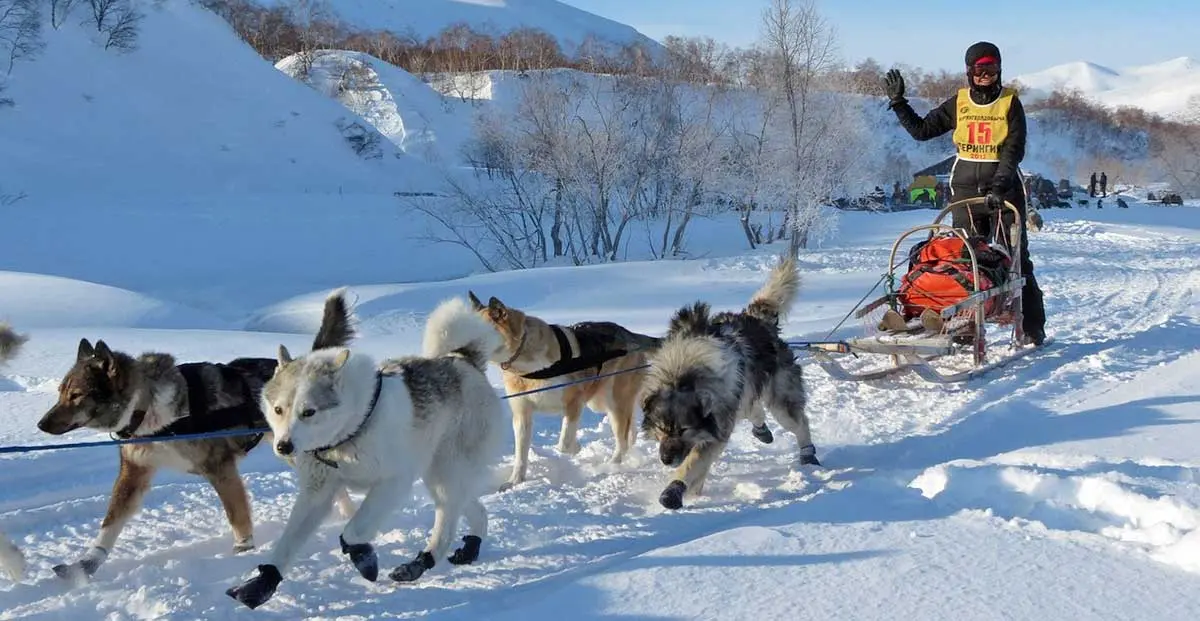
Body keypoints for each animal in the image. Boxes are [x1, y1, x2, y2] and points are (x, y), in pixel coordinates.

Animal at [226, 293, 508, 613]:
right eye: (278, 410)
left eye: (309, 412)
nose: (283, 446)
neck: (352, 430)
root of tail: (464, 359)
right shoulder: (317, 493)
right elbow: (286, 545)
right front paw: (262, 583)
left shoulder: (394, 482)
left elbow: (353, 531)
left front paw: (363, 556)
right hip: (441, 476)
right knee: (474, 509)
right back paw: (469, 547)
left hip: (445, 473)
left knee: (446, 524)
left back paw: (420, 563)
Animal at [463, 292, 662, 491]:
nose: (460, 353)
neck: (530, 367)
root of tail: (628, 333)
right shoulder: (522, 415)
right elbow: (520, 455)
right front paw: (515, 481)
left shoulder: (574, 403)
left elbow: (564, 444)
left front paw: (577, 447)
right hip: (601, 402)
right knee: (630, 430)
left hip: (613, 403)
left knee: (622, 439)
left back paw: (613, 463)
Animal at [643, 257, 820, 510]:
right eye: (661, 428)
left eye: (683, 429)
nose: (666, 459)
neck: (682, 373)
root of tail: (759, 320)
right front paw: (692, 490)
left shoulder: (714, 431)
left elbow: (692, 463)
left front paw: (674, 490)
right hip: (745, 393)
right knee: (753, 408)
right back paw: (761, 430)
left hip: (780, 403)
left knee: (799, 423)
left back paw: (807, 453)